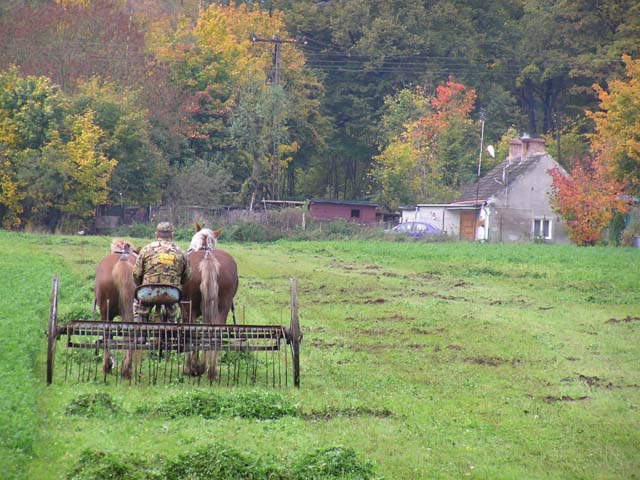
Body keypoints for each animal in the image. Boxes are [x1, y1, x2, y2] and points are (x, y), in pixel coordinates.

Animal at [181, 224, 239, 378]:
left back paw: (192, 367)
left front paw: (193, 366)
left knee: (193, 331)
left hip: (189, 307)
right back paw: (212, 371)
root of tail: (208, 258)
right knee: (216, 332)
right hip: (223, 305)